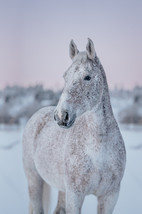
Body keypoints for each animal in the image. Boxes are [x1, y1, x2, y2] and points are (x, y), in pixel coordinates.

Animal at [22, 37, 126, 213]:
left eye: (88, 77)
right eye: (65, 77)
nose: (60, 116)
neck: (100, 148)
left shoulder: (110, 196)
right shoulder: (75, 195)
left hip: (60, 188)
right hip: (34, 179)